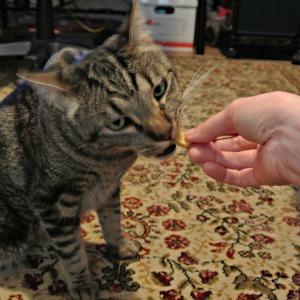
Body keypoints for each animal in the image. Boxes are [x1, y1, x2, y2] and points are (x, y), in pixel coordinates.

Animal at [0, 1, 180, 298]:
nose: (165, 133)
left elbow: (112, 219)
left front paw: (119, 246)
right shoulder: (52, 203)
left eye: (159, 90)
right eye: (118, 123)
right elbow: (71, 251)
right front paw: (83, 284)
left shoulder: (110, 188)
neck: (109, 161)